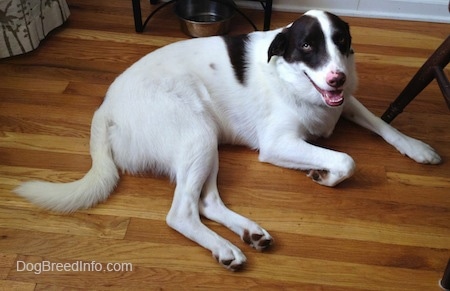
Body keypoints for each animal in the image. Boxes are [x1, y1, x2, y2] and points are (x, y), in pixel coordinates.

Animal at [14, 10, 440, 272]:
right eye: (307, 46)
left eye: (341, 40)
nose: (337, 78)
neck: (294, 79)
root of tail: (106, 108)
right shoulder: (277, 144)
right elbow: (346, 160)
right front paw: (325, 173)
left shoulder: (344, 102)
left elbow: (382, 123)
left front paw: (416, 146)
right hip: (197, 136)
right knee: (182, 212)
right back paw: (225, 248)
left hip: (207, 140)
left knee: (207, 202)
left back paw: (249, 232)